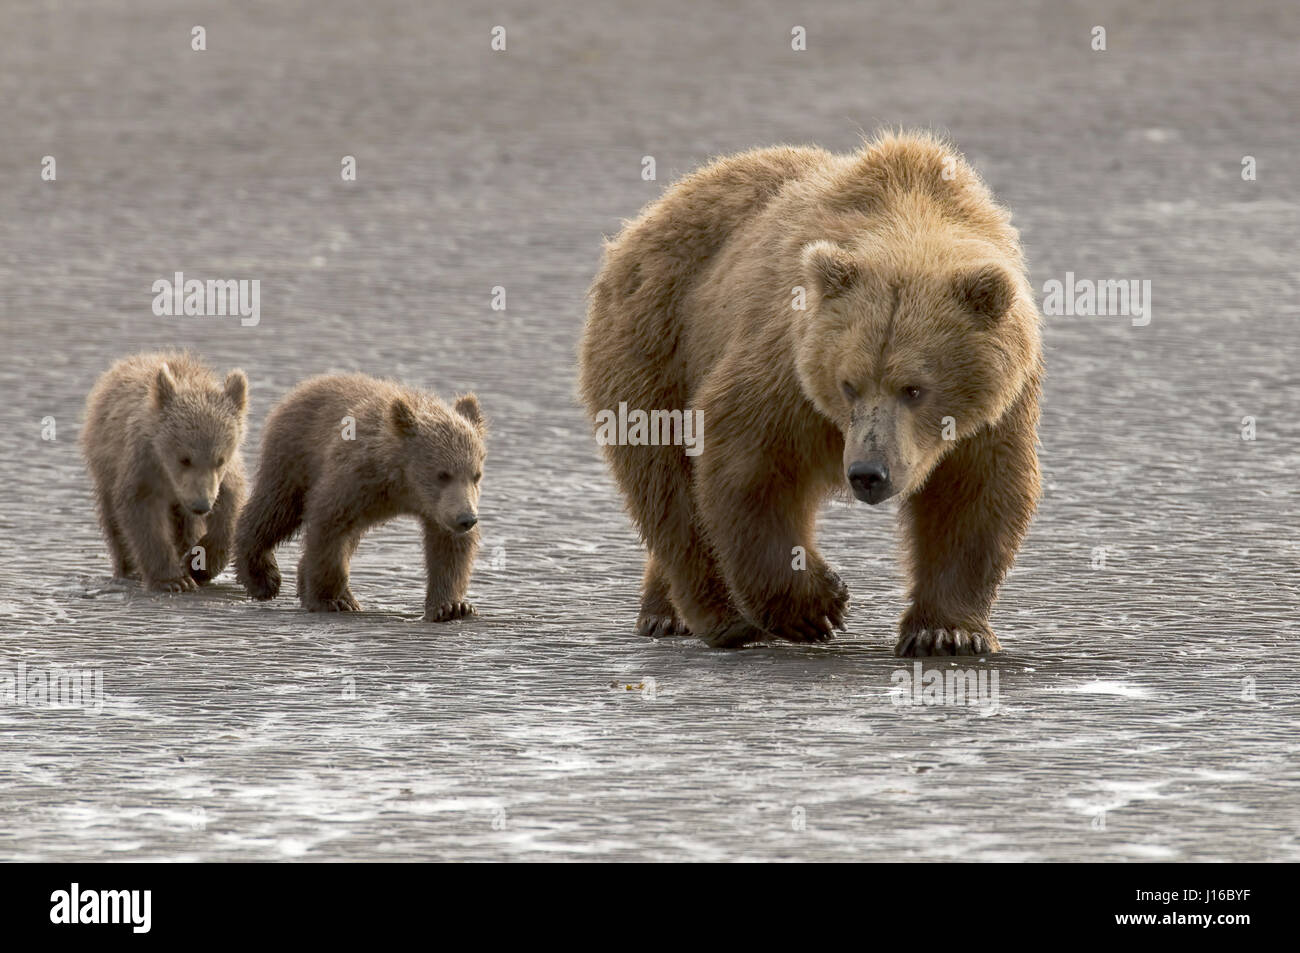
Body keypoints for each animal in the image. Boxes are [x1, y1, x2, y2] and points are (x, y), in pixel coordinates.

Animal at [579, 131, 1045, 655]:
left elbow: (974, 496)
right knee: (666, 483)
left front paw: (946, 632)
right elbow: (748, 466)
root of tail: (648, 216)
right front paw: (818, 605)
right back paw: (719, 618)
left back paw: (665, 610)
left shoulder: (997, 406)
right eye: (849, 384)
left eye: (914, 388)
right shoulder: (789, 364)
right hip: (657, 342)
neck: (911, 210)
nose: (868, 473)